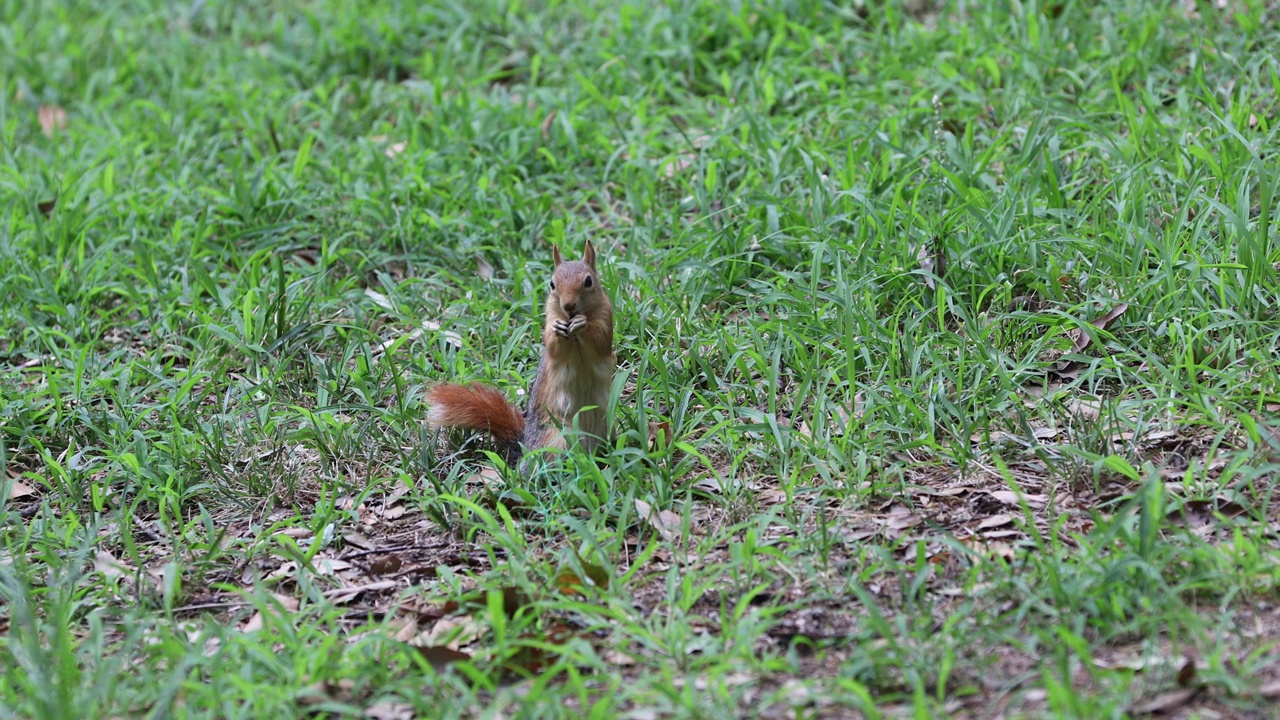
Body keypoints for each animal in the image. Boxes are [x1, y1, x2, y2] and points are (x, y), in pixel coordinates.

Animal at [424, 239, 614, 466]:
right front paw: (558, 329)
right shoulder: (551, 320)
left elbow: (601, 340)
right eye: (552, 284)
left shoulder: (606, 315)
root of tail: (526, 450)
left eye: (588, 281)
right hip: (557, 437)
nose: (568, 306)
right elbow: (554, 347)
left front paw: (582, 324)